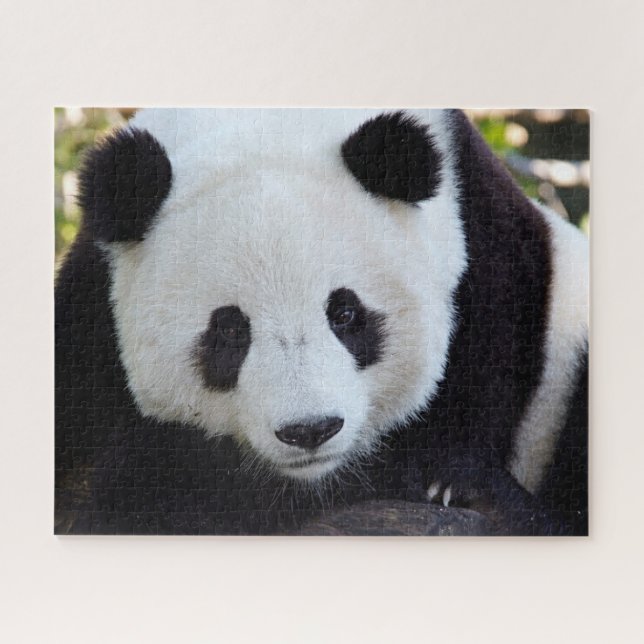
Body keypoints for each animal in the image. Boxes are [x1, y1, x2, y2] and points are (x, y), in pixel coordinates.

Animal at [55, 108, 588, 536]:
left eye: (345, 314)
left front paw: (451, 482)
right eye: (229, 329)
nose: (309, 430)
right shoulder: (91, 316)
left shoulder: (491, 294)